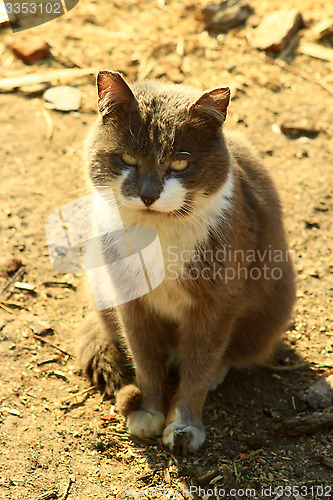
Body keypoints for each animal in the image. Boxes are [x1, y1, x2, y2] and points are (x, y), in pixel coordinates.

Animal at [78, 68, 296, 456]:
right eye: (127, 158)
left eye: (179, 162)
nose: (148, 194)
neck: (157, 234)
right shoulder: (130, 300)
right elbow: (145, 357)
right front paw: (149, 412)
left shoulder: (217, 303)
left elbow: (199, 364)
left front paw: (183, 428)